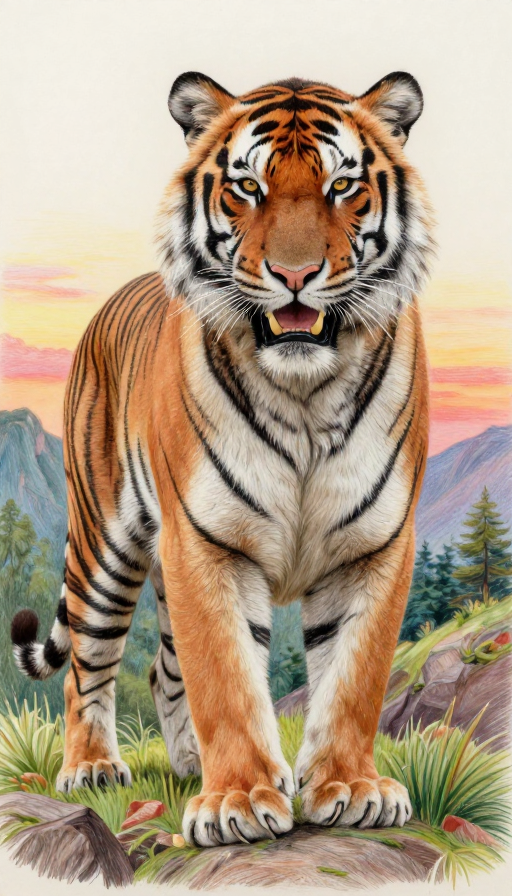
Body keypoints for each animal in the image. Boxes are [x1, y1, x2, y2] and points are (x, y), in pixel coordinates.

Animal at [11, 70, 433, 847]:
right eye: (247, 187)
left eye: (341, 186)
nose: (295, 274)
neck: (305, 397)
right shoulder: (205, 544)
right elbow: (228, 680)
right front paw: (238, 801)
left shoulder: (376, 545)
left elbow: (353, 678)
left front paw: (349, 788)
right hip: (104, 548)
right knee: (87, 664)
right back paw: (92, 769)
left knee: (160, 670)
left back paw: (184, 767)